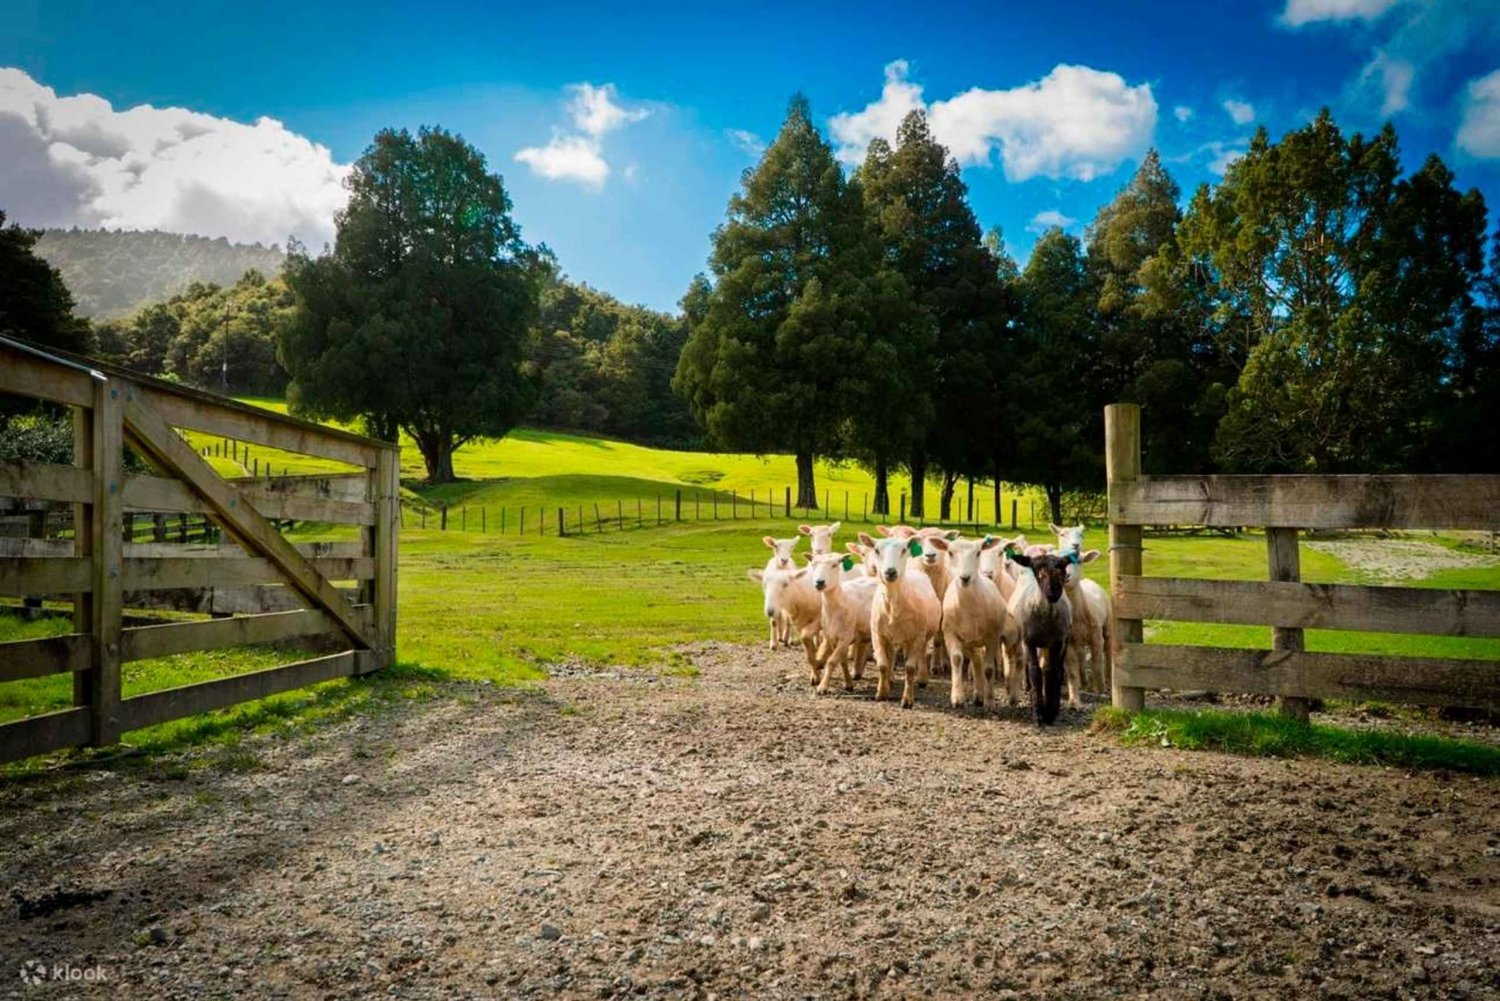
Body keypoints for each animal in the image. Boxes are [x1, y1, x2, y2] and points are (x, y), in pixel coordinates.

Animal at [810, 552, 876, 693]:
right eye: (813, 564)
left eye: (835, 565)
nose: (819, 582)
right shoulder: (832, 638)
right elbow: (841, 661)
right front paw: (848, 683)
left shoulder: (845, 637)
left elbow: (831, 661)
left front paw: (822, 687)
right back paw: (857, 672)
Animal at [930, 537, 1014, 708]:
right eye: (950, 552)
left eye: (978, 553)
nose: (965, 578)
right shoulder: (951, 633)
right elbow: (957, 659)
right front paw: (957, 698)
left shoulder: (992, 637)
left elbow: (989, 669)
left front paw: (990, 700)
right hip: (970, 640)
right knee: (976, 660)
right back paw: (978, 695)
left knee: (980, 662)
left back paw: (982, 696)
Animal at [1002, 552, 1074, 723]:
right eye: (1036, 568)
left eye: (1063, 567)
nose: (1053, 592)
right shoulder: (1029, 642)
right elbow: (1035, 671)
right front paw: (1038, 713)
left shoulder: (1057, 642)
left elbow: (1051, 670)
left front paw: (1051, 711)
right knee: (1029, 666)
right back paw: (1028, 687)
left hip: (1063, 640)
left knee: (1058, 668)